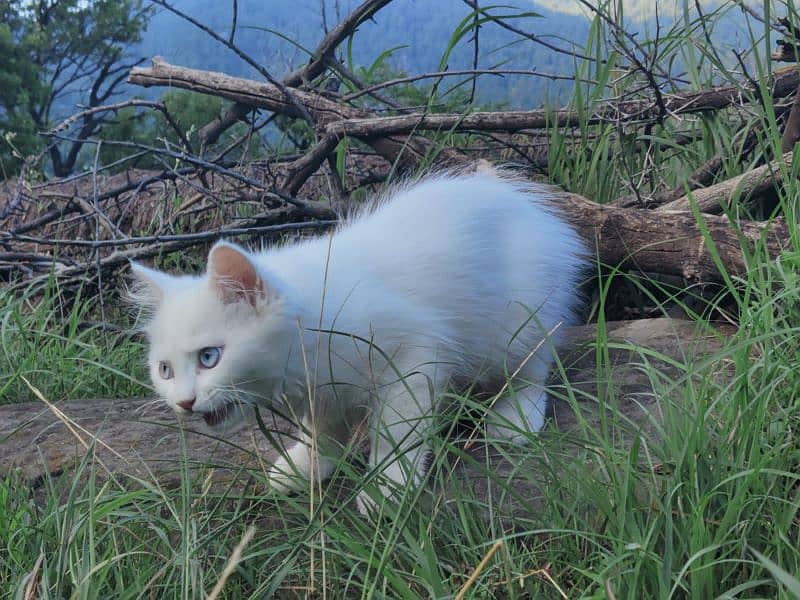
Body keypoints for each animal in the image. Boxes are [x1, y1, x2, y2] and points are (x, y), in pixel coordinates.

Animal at [128, 171, 584, 512]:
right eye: (164, 370)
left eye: (210, 357)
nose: (184, 402)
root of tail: (529, 204)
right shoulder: (323, 390)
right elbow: (324, 431)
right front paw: (307, 465)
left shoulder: (412, 353)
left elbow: (396, 432)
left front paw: (386, 487)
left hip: (519, 319)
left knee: (534, 367)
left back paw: (516, 416)